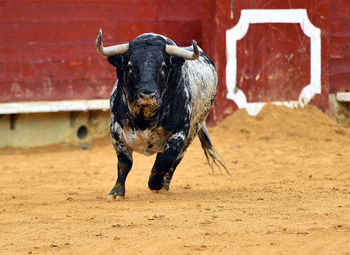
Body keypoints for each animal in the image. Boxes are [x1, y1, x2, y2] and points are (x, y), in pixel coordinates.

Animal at [95, 29, 230, 201]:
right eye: (130, 66)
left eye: (163, 66)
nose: (147, 95)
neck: (144, 119)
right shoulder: (116, 129)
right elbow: (124, 163)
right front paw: (116, 193)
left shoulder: (180, 133)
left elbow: (165, 161)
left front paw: (155, 183)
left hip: (194, 128)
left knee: (176, 160)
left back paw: (163, 185)